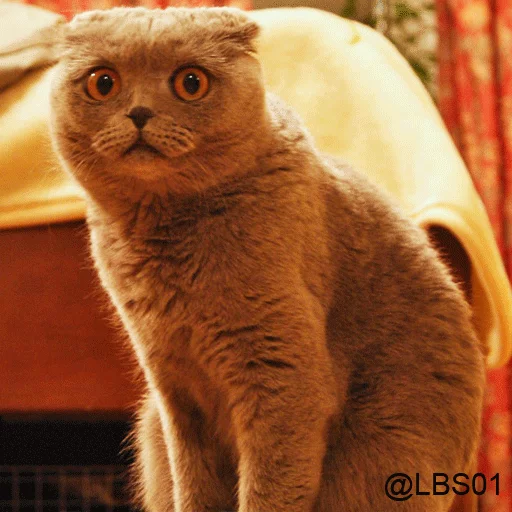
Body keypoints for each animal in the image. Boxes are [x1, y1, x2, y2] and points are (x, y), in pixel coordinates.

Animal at [49, 7, 485, 512]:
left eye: (191, 82)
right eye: (103, 82)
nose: (139, 112)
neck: (165, 237)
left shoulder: (283, 376)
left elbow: (270, 486)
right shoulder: (175, 388)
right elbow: (193, 486)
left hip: (380, 446)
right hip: (152, 425)